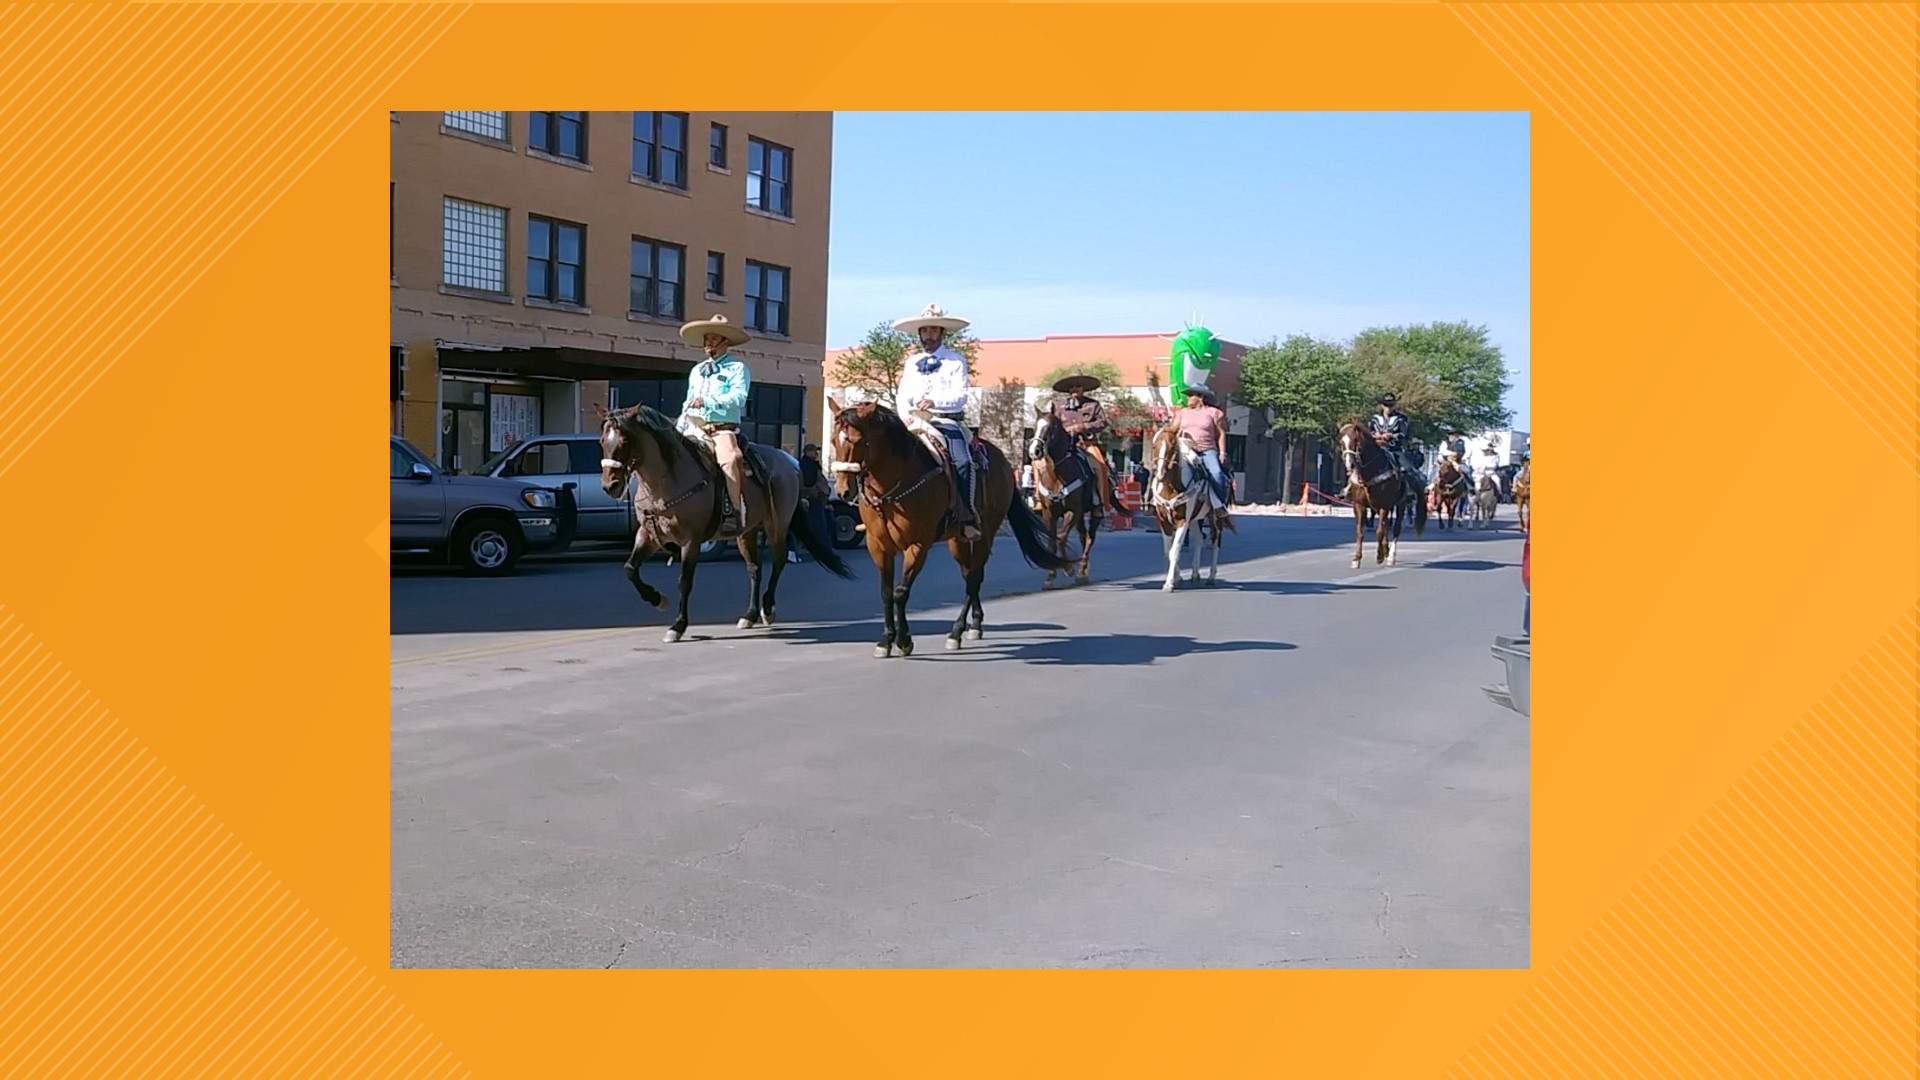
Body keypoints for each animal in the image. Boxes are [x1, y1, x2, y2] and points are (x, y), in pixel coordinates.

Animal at [591, 401, 848, 638]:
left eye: (624, 442)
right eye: (602, 442)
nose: (610, 486)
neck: (667, 481)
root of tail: (789, 461)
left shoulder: (691, 540)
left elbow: (684, 581)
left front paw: (678, 626)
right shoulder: (649, 535)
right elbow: (630, 569)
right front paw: (657, 599)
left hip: (776, 525)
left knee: (779, 560)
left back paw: (767, 608)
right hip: (747, 530)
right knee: (754, 567)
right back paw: (749, 615)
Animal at [821, 397, 1067, 657]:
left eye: (858, 440)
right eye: (833, 439)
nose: (843, 490)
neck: (895, 486)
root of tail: (1002, 460)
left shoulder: (917, 545)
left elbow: (900, 592)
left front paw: (904, 640)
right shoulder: (878, 546)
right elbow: (886, 593)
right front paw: (885, 640)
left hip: (985, 535)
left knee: (974, 578)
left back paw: (956, 632)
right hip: (957, 541)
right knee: (969, 575)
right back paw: (975, 624)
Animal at [1029, 397, 1121, 584]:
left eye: (1051, 427)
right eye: (1035, 426)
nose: (1035, 451)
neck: (1057, 475)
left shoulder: (1073, 510)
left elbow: (1062, 537)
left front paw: (1068, 568)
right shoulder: (1049, 512)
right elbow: (1052, 540)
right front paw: (1050, 576)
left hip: (1095, 512)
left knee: (1089, 538)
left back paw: (1081, 571)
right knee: (1083, 536)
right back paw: (1082, 571)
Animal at [1336, 420, 1428, 568]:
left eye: (1356, 440)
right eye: (1341, 442)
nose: (1349, 465)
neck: (1370, 473)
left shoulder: (1384, 506)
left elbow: (1379, 531)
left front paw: (1379, 555)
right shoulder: (1359, 505)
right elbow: (1360, 532)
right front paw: (1356, 559)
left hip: (1401, 505)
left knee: (1395, 528)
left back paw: (1390, 556)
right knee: (1385, 527)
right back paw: (1386, 549)